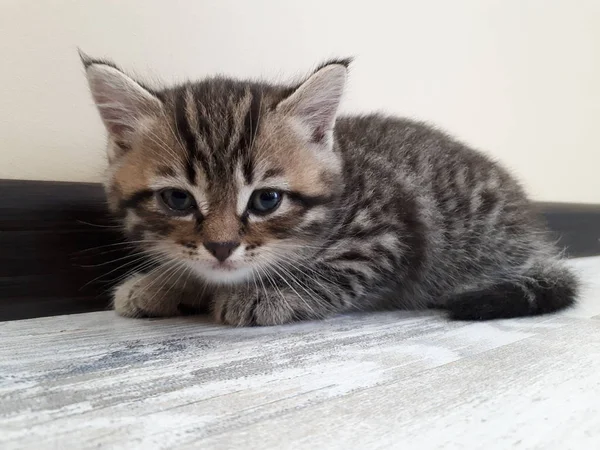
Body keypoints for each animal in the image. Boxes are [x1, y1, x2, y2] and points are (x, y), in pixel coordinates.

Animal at [82, 54, 580, 326]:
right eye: (178, 199)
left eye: (266, 199)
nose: (221, 247)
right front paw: (161, 283)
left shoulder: (387, 235)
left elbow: (333, 272)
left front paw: (266, 294)